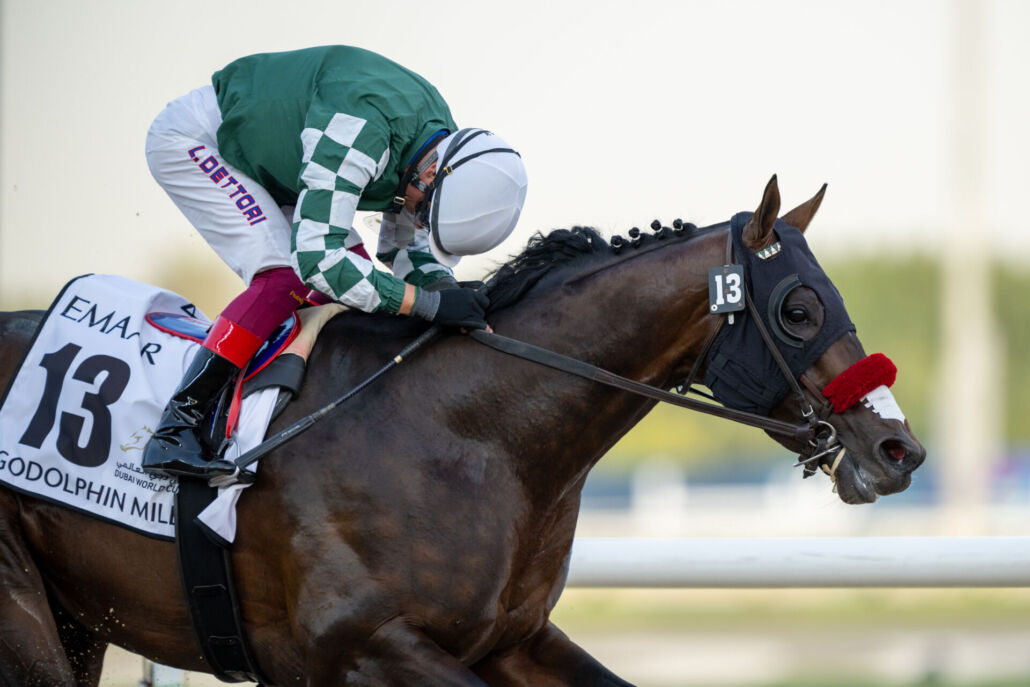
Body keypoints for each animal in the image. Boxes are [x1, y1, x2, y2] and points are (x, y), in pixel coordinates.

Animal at [0, 177, 925, 686]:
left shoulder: (510, 640)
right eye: (799, 308)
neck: (475, 435)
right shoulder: (360, 646)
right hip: (26, 616)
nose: (899, 449)